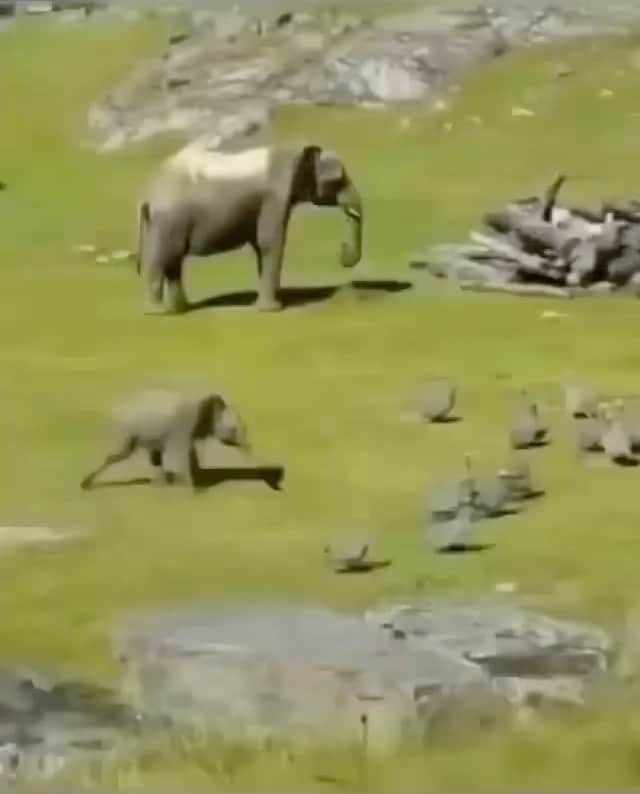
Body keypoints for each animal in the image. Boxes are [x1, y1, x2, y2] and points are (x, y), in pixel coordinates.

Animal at [80, 387, 249, 490]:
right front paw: (192, 487)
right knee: (118, 455)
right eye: (233, 429)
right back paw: (86, 483)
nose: (246, 448)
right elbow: (182, 453)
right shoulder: (182, 426)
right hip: (128, 431)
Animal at [135, 142, 363, 314]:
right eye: (338, 180)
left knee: (173, 261)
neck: (293, 152)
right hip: (169, 221)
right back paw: (159, 312)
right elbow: (270, 242)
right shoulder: (274, 198)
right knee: (162, 259)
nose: (342, 251)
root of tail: (150, 193)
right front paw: (272, 310)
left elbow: (261, 246)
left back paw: (181, 309)